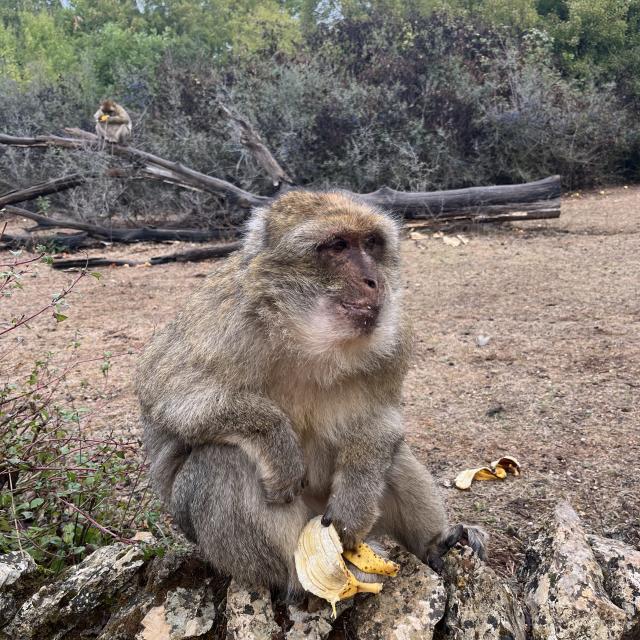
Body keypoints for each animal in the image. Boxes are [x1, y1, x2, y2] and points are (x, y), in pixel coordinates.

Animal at [135, 191, 484, 600]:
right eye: (338, 245)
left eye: (371, 243)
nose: (374, 281)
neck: (306, 336)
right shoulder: (225, 320)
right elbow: (167, 391)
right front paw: (278, 444)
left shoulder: (396, 335)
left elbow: (380, 419)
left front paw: (355, 505)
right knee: (223, 459)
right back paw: (308, 579)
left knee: (390, 451)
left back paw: (435, 545)